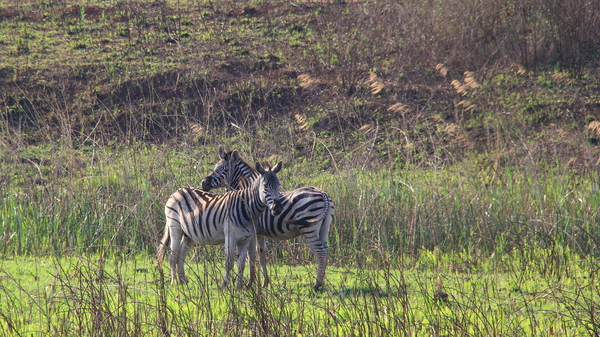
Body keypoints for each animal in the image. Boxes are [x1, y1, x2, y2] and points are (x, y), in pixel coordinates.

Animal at [157, 156, 284, 288]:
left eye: (278, 185)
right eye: (265, 186)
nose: (278, 208)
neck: (248, 209)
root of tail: (179, 190)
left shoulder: (245, 239)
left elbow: (241, 264)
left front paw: (239, 288)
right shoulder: (230, 236)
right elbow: (229, 263)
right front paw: (224, 286)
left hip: (188, 234)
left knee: (180, 256)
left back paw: (183, 283)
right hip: (175, 228)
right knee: (172, 256)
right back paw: (174, 283)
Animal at [200, 146, 332, 290]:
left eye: (224, 169)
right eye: (215, 167)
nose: (204, 183)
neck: (248, 198)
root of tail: (324, 194)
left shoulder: (252, 231)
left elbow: (251, 255)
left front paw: (250, 283)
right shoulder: (259, 233)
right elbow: (261, 254)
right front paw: (265, 282)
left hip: (308, 228)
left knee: (321, 252)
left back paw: (317, 284)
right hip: (324, 227)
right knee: (326, 251)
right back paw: (323, 282)